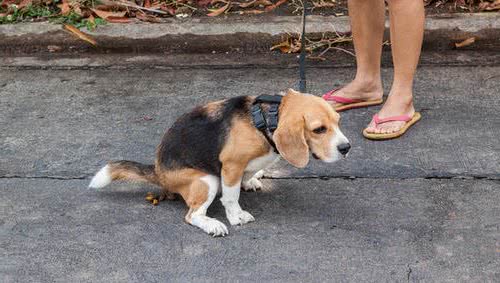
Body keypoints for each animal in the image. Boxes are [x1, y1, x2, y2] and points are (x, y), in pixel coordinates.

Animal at [88, 89, 350, 237]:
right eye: (319, 129)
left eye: (338, 122)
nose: (346, 148)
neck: (265, 120)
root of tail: (158, 170)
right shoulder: (231, 165)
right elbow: (231, 196)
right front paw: (236, 216)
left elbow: (248, 174)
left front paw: (251, 180)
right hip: (206, 180)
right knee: (192, 215)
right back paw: (213, 225)